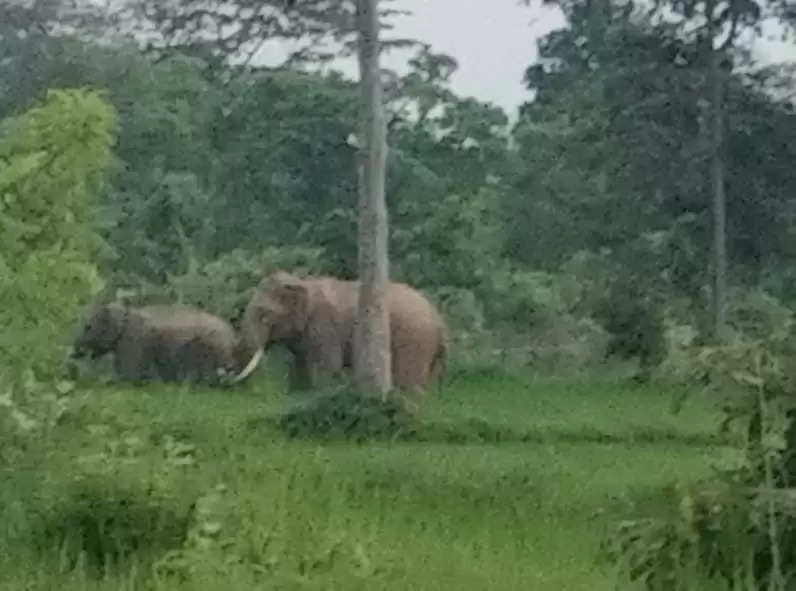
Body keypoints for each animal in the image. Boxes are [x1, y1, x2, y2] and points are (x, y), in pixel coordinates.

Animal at [71, 302, 253, 386]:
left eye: (87, 327)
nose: (73, 354)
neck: (127, 311)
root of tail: (233, 335)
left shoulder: (132, 340)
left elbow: (129, 373)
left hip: (211, 348)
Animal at [232, 272, 448, 394]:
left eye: (264, 316)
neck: (302, 282)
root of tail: (439, 319)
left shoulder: (323, 325)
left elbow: (326, 366)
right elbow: (299, 366)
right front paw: (298, 396)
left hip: (414, 341)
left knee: (408, 379)